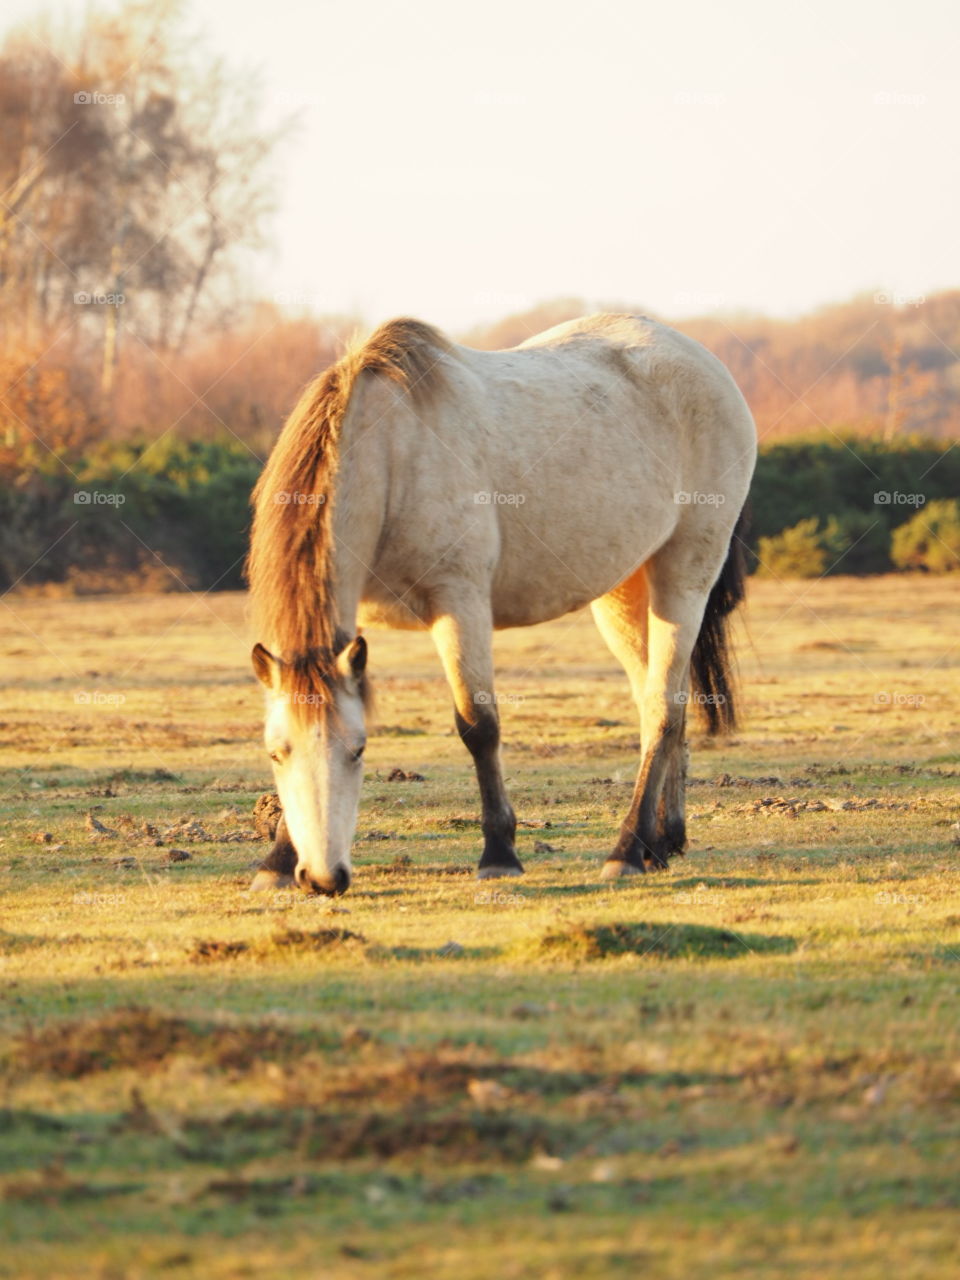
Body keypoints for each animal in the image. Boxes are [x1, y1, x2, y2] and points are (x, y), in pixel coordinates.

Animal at [247, 313, 756, 895]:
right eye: (275, 752)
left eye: (358, 750)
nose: (323, 878)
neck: (395, 453)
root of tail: (700, 360)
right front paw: (276, 862)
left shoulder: (459, 602)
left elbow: (478, 725)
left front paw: (499, 854)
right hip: (625, 593)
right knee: (663, 700)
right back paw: (662, 841)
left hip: (684, 576)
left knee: (662, 709)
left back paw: (627, 850)